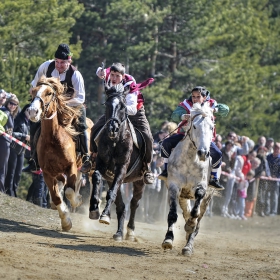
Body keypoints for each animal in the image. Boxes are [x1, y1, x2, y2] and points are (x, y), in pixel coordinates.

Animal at [27, 76, 86, 230]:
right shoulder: (47, 172)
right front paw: (66, 221)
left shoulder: (71, 166)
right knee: (61, 184)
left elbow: (70, 191)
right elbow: (56, 196)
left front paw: (76, 201)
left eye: (49, 93)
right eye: (34, 91)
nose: (32, 111)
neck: (53, 138)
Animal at [89, 83, 147, 241]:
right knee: (121, 205)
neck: (115, 141)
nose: (112, 128)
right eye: (107, 104)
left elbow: (112, 193)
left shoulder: (122, 168)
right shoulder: (101, 164)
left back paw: (130, 231)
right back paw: (119, 232)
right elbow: (96, 177)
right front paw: (94, 209)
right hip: (111, 178)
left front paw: (104, 215)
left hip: (139, 181)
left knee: (134, 203)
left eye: (122, 106)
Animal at [162, 102, 214, 256]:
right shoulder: (174, 187)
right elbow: (173, 215)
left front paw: (190, 225)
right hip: (182, 196)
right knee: (185, 212)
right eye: (195, 126)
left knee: (198, 221)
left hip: (207, 199)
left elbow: (195, 215)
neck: (190, 160)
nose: (203, 153)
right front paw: (168, 240)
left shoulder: (201, 188)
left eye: (211, 127)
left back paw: (188, 246)